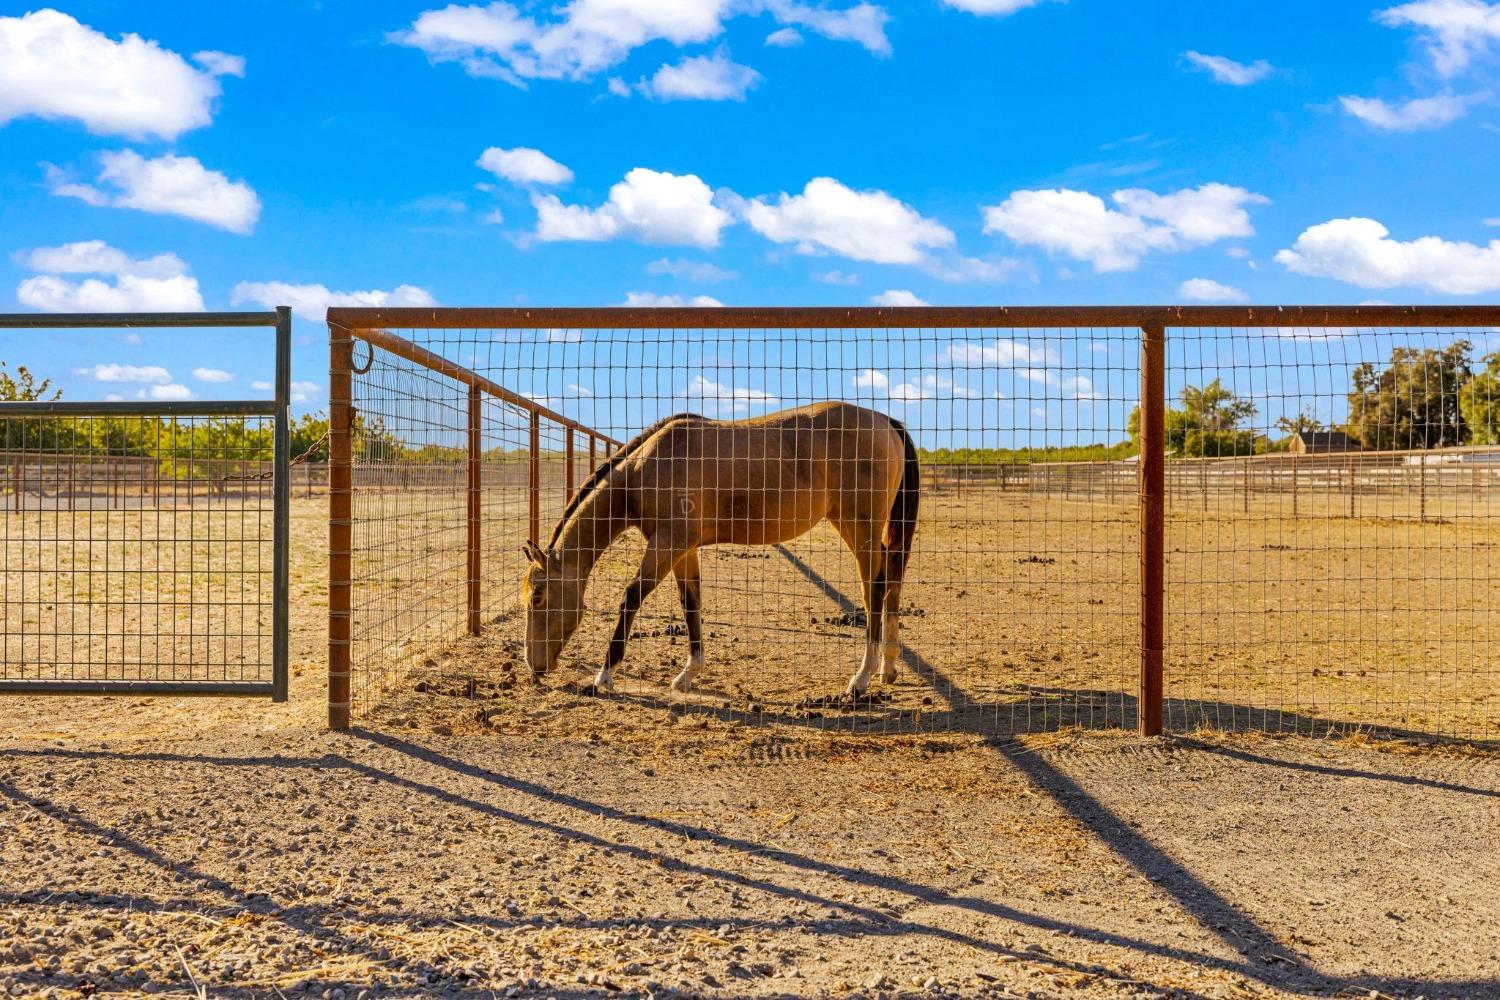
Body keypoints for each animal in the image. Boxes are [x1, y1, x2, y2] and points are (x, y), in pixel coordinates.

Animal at [522, 398, 918, 695]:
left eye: (538, 597)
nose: (534, 665)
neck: (647, 468)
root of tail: (885, 420)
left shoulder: (668, 543)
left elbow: (632, 596)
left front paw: (604, 675)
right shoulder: (683, 549)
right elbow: (691, 605)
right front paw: (688, 674)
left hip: (859, 528)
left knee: (875, 589)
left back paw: (861, 678)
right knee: (891, 580)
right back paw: (887, 668)